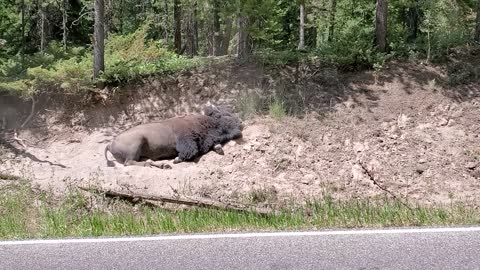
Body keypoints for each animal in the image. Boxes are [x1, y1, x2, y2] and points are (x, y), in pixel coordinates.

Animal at [103, 103, 242, 167]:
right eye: (226, 114)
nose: (241, 123)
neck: (206, 121)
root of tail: (110, 143)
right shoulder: (187, 141)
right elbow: (191, 152)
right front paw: (176, 159)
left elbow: (214, 145)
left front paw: (219, 149)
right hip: (137, 143)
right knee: (129, 162)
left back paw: (164, 165)